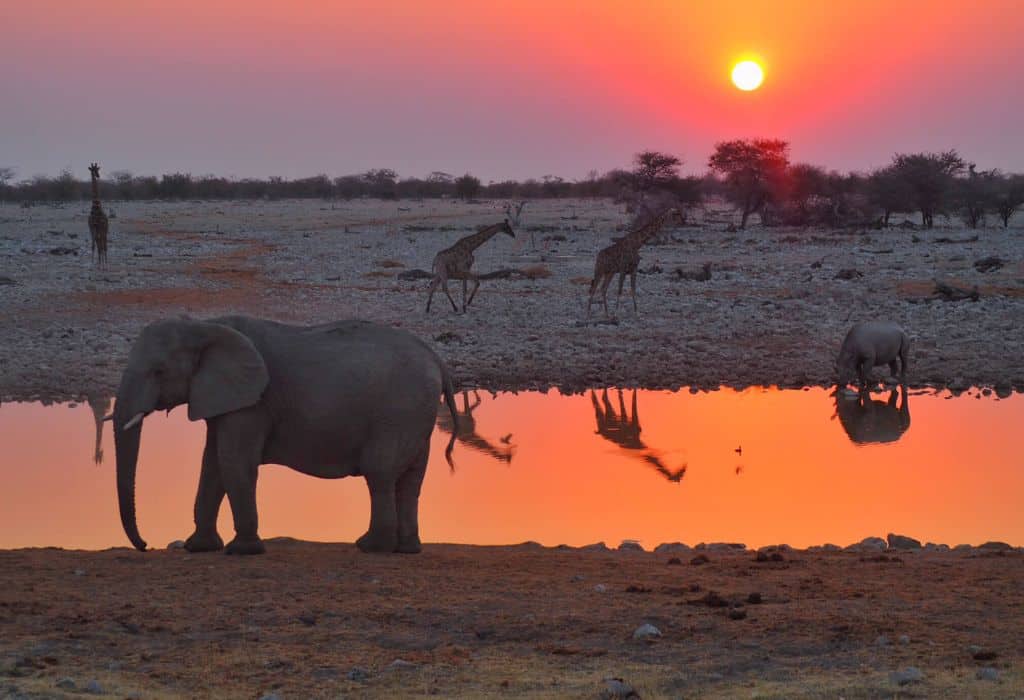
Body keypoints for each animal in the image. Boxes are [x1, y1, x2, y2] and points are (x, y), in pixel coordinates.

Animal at [111, 315, 456, 556]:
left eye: (159, 371)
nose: (145, 545)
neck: (205, 326)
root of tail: (438, 361)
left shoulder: (254, 402)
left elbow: (234, 461)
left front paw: (241, 551)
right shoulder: (224, 397)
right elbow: (212, 464)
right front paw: (199, 547)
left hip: (397, 411)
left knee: (379, 472)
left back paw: (370, 546)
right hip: (416, 414)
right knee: (410, 481)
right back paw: (406, 549)